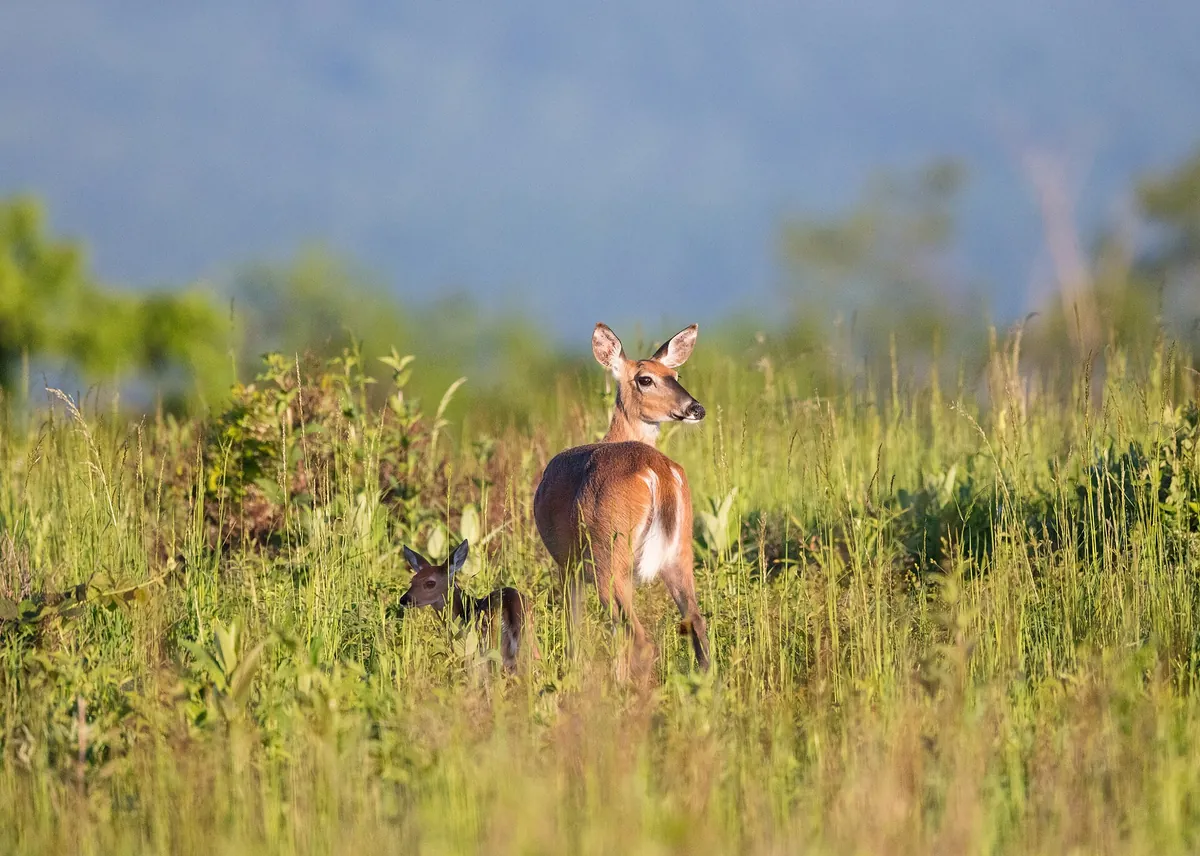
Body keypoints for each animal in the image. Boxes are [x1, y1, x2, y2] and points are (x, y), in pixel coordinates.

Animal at [533, 322, 710, 674]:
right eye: (647, 379)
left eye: (675, 375)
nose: (696, 408)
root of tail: (657, 471)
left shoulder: (567, 562)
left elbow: (575, 625)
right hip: (680, 550)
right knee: (697, 622)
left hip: (610, 553)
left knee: (636, 637)